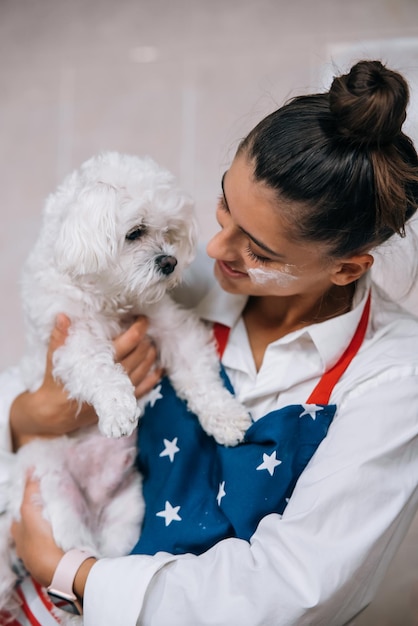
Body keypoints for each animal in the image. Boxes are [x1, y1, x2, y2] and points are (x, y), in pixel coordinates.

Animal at [0, 150, 250, 620]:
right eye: (135, 233)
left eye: (170, 233)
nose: (170, 262)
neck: (111, 299)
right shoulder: (73, 340)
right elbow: (102, 371)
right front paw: (118, 409)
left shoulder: (170, 327)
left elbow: (200, 377)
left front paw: (225, 419)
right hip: (59, 510)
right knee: (74, 554)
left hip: (126, 517)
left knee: (104, 561)